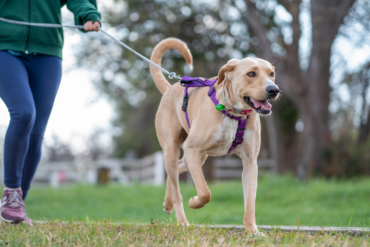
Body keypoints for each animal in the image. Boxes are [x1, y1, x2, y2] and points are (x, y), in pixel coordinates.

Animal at [149, 38, 278, 233]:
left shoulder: (250, 162)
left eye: (271, 74)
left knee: (176, 171)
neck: (233, 113)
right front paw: (194, 203)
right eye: (251, 74)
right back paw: (182, 221)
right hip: (173, 150)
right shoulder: (192, 149)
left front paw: (252, 231)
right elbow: (205, 192)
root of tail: (171, 88)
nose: (274, 90)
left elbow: (250, 203)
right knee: (176, 185)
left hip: (197, 157)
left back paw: (167, 203)